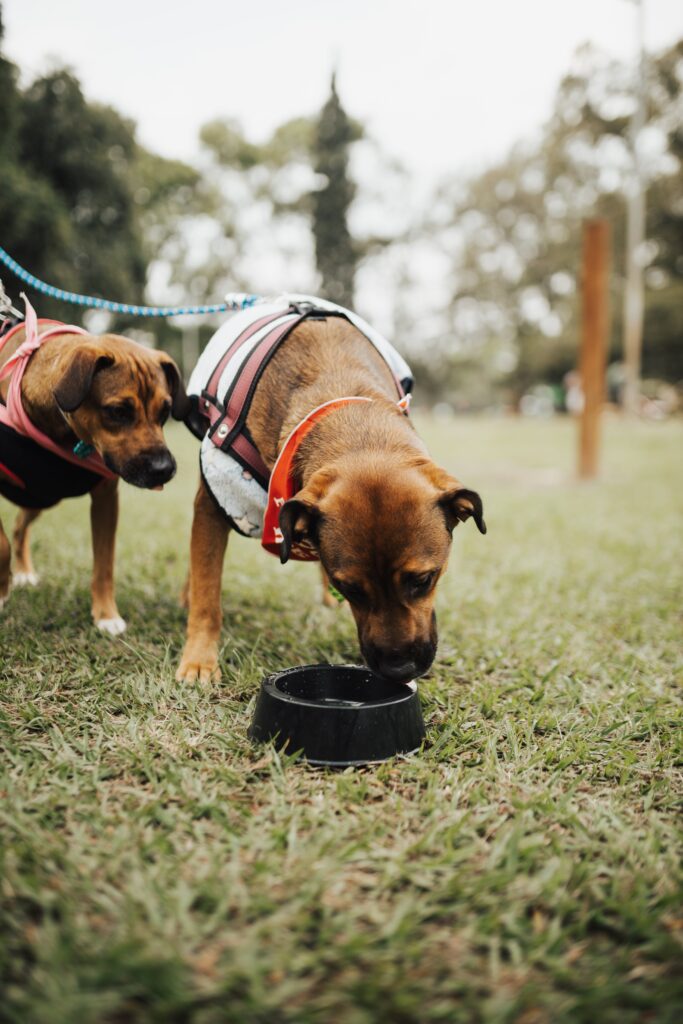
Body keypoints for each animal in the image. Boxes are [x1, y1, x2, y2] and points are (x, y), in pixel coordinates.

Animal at [0, 311, 187, 630]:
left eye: (165, 411)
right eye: (118, 412)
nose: (164, 469)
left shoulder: (106, 500)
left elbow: (104, 563)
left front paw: (106, 616)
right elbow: (1, 546)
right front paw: (1, 592)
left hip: (41, 497)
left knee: (19, 526)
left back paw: (23, 571)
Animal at [178, 311, 485, 679]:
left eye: (424, 580)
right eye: (350, 588)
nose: (399, 668)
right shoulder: (214, 502)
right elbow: (207, 593)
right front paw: (199, 658)